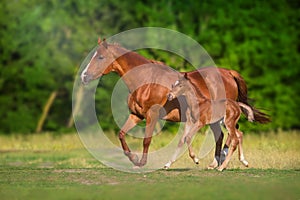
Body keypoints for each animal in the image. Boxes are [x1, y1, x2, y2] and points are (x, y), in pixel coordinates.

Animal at [81, 39, 270, 167]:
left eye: (100, 57)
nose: (84, 76)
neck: (145, 81)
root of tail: (229, 73)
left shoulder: (151, 116)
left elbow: (146, 140)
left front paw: (142, 162)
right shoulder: (136, 115)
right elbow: (121, 134)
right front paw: (133, 158)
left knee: (231, 135)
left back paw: (225, 161)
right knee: (224, 136)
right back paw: (216, 163)